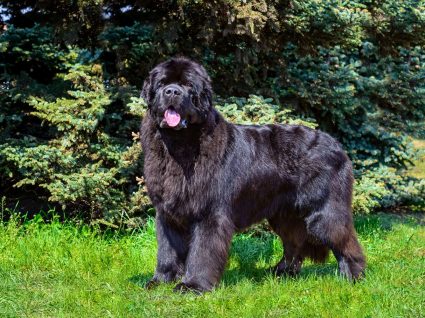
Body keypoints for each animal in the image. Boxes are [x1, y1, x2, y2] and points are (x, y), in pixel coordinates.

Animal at [139, 56, 364, 294]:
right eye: (162, 84)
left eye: (189, 85)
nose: (172, 92)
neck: (179, 145)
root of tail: (337, 144)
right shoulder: (167, 213)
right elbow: (167, 251)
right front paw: (160, 281)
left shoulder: (209, 213)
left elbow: (201, 252)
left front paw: (193, 285)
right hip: (285, 214)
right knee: (294, 242)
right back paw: (281, 273)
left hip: (324, 210)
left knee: (343, 238)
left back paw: (352, 277)